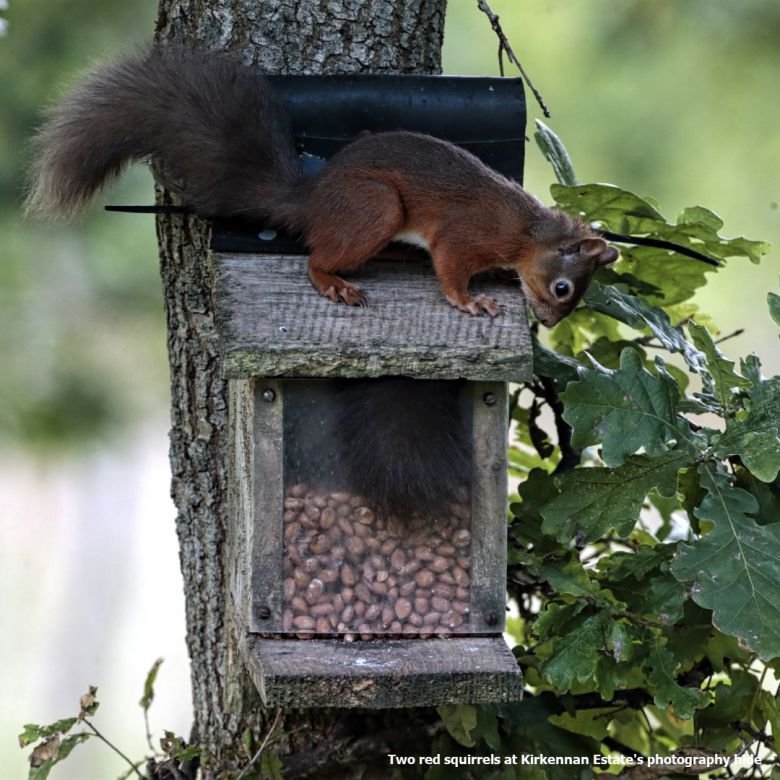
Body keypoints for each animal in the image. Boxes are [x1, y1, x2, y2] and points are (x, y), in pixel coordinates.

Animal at [27, 45, 620, 326]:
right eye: (563, 289)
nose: (547, 322)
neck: (524, 233)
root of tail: (310, 199)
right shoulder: (464, 233)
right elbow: (451, 269)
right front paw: (469, 301)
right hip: (375, 207)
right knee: (314, 258)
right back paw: (334, 283)